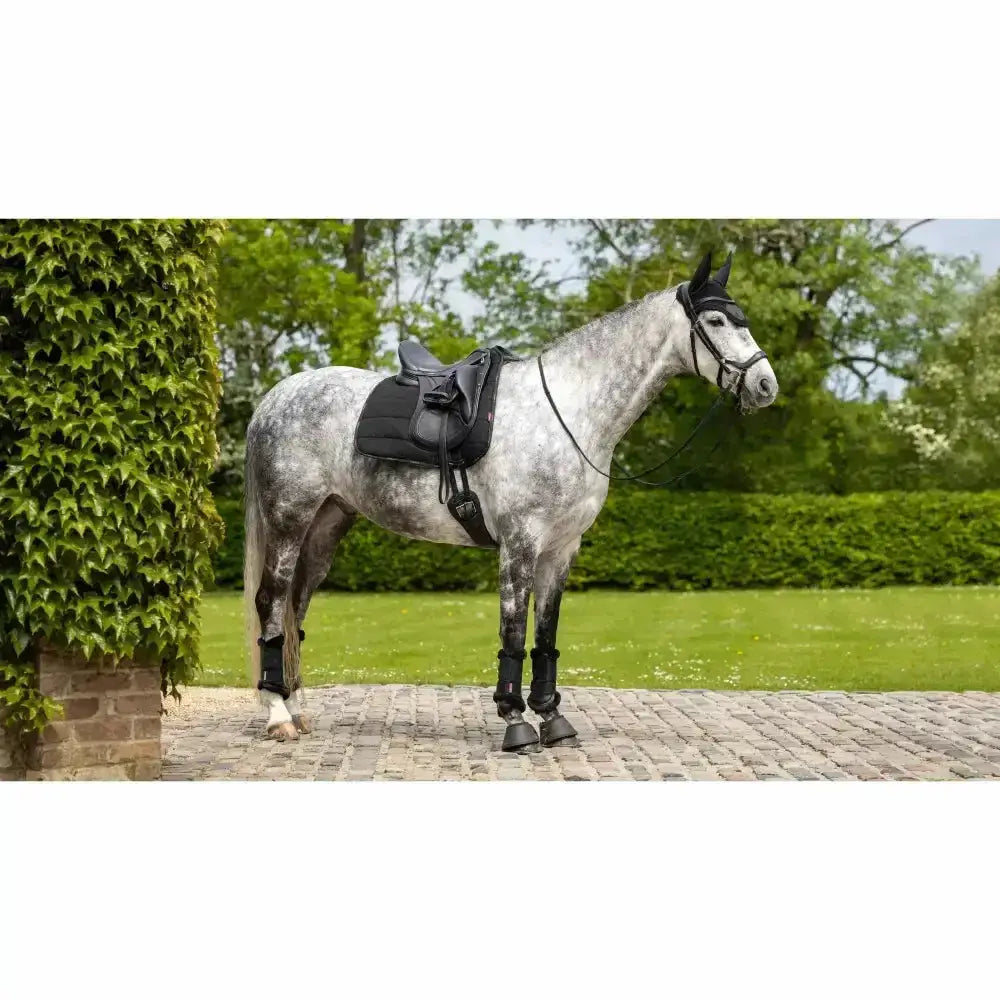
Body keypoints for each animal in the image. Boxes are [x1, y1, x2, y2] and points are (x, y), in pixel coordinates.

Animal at [243, 251, 778, 751]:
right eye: (716, 321)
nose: (765, 385)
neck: (568, 411)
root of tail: (275, 399)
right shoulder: (520, 544)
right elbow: (514, 633)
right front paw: (515, 721)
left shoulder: (561, 550)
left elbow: (545, 637)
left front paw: (552, 719)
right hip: (289, 519)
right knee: (270, 602)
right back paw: (278, 715)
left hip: (326, 525)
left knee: (295, 609)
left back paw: (298, 709)